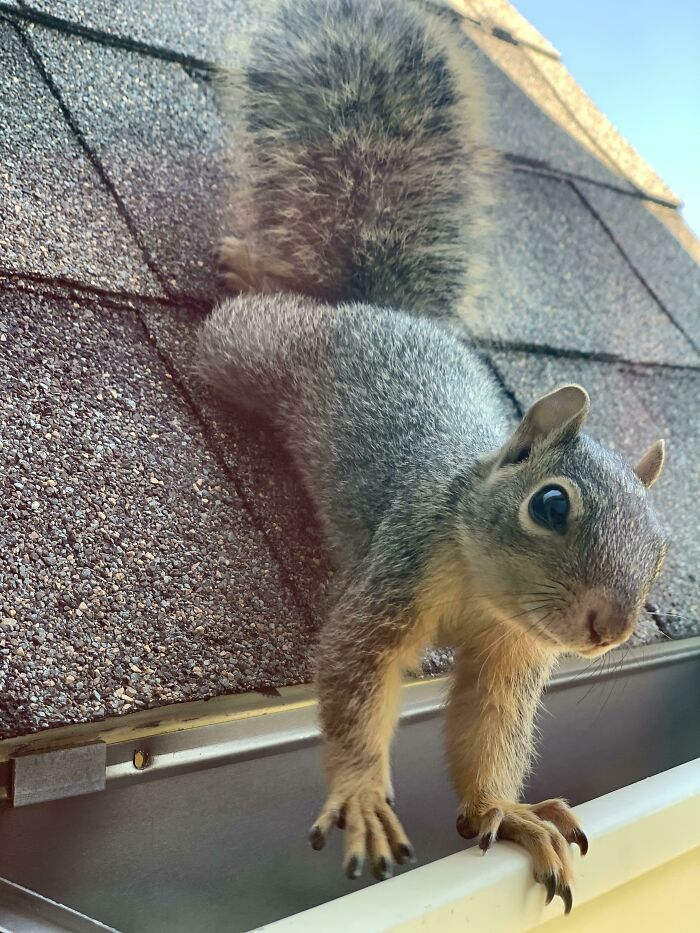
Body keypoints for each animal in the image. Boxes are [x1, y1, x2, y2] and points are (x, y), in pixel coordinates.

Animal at [198, 0, 668, 916]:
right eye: (550, 504)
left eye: (662, 551)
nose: (610, 628)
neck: (486, 593)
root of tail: (387, 311)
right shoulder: (399, 567)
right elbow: (354, 674)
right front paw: (360, 796)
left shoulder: (512, 658)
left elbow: (485, 733)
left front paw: (509, 813)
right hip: (255, 349)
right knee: (232, 328)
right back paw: (240, 266)